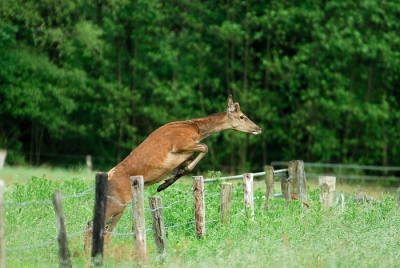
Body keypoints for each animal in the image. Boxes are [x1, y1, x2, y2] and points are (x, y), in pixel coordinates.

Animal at [83, 94, 262, 249]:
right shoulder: (179, 143)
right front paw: (165, 183)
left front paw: (168, 180)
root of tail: (109, 176)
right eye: (242, 116)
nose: (258, 128)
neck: (197, 130)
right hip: (117, 200)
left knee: (106, 229)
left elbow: (189, 160)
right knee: (92, 224)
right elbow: (205, 147)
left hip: (120, 205)